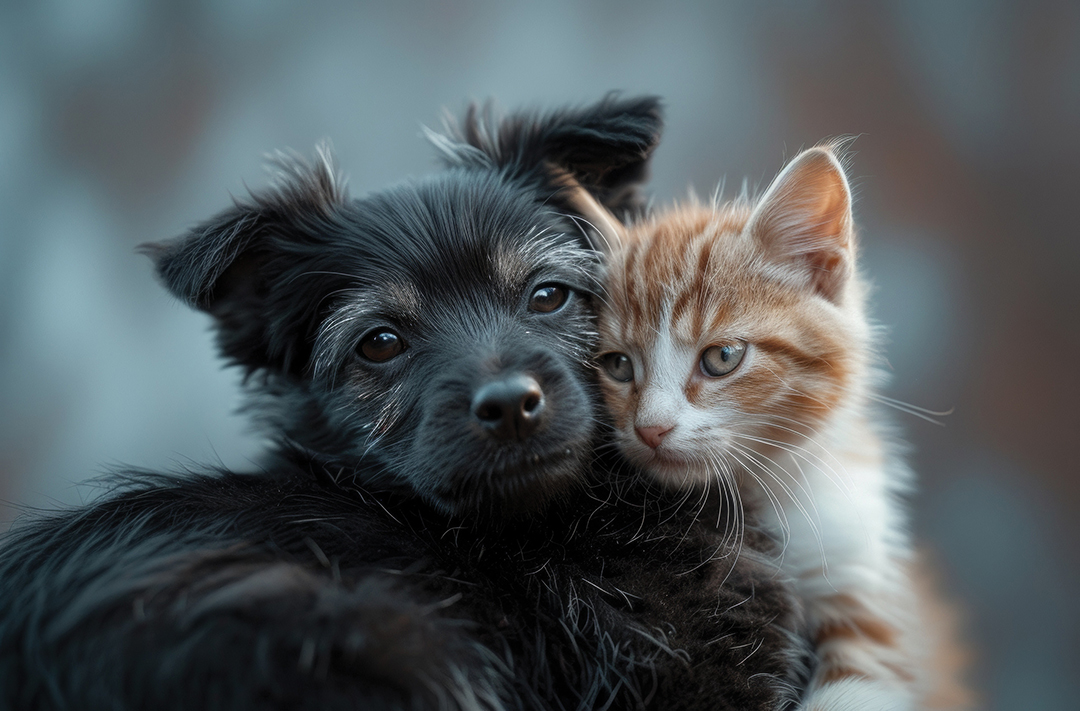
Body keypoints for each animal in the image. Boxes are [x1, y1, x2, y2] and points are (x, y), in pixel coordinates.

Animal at [591, 145, 972, 708]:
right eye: (617, 366)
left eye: (722, 357)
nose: (650, 429)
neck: (761, 495)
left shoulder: (864, 579)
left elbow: (859, 686)